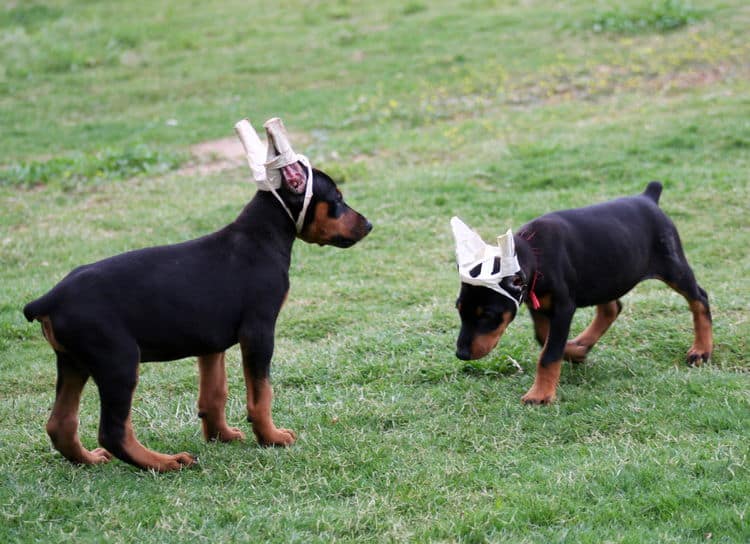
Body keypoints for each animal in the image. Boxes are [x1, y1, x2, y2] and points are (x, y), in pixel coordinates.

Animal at [22, 119, 374, 472]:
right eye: (338, 198)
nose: (369, 224)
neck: (263, 235)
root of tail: (48, 299)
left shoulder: (210, 344)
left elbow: (214, 394)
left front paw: (222, 436)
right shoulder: (258, 331)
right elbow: (261, 393)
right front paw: (271, 437)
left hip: (73, 362)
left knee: (60, 424)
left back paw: (90, 460)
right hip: (117, 360)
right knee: (113, 430)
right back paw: (165, 463)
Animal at [456, 182, 712, 404]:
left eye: (488, 315)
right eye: (459, 309)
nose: (461, 354)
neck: (535, 254)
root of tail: (648, 197)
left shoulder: (563, 306)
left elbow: (549, 353)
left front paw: (540, 394)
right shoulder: (538, 304)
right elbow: (543, 338)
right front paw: (575, 352)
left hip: (672, 265)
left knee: (699, 298)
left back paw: (701, 350)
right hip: (606, 275)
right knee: (612, 308)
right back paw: (582, 343)